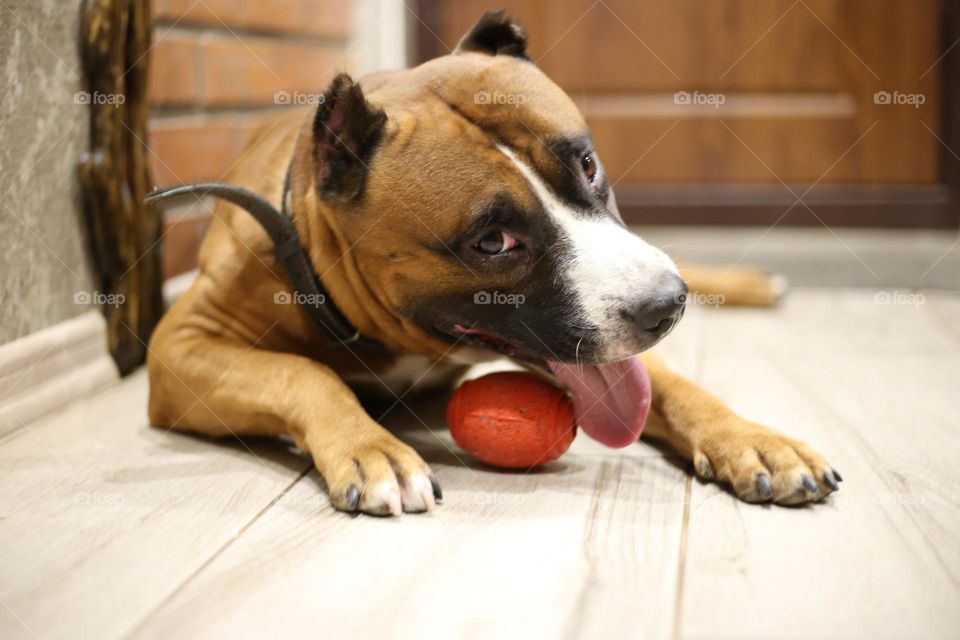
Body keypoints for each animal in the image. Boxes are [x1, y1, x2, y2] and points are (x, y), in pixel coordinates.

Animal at [144, 11, 840, 516]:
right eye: (493, 242)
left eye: (588, 164)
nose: (665, 306)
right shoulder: (180, 347)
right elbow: (302, 373)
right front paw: (372, 448)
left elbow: (672, 386)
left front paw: (752, 438)